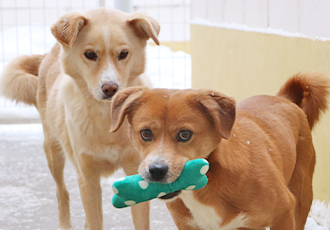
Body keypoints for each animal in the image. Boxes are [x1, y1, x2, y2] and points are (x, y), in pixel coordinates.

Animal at [0, 8, 160, 229]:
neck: (107, 117)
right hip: (53, 152)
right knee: (62, 192)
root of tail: (50, 52)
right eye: (90, 54)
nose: (110, 88)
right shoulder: (87, 177)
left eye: (123, 54)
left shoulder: (136, 175)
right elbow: (93, 219)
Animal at [111, 73, 330, 228]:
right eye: (146, 133)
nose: (156, 170)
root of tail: (284, 99)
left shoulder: (284, 212)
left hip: (301, 197)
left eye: (185, 134)